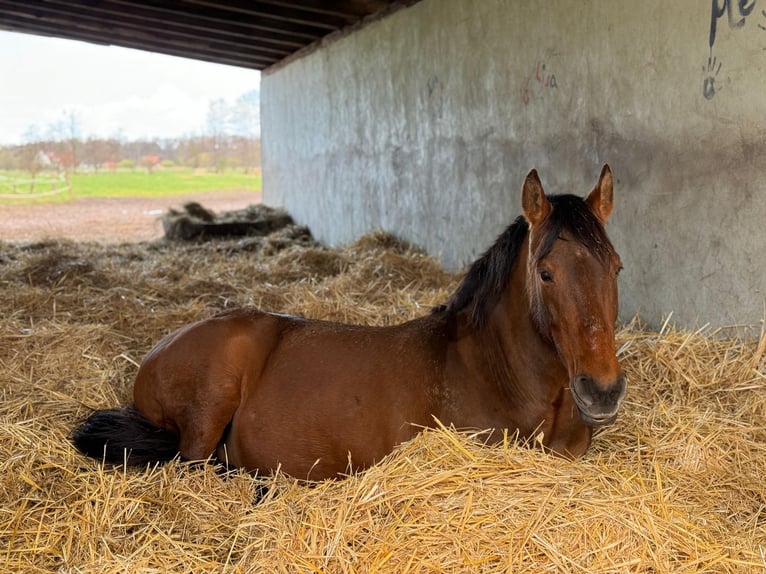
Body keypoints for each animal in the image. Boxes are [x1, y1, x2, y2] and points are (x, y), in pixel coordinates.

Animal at [72, 165, 626, 481]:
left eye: (617, 267)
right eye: (546, 273)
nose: (602, 391)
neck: (493, 371)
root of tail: (156, 350)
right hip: (207, 413)